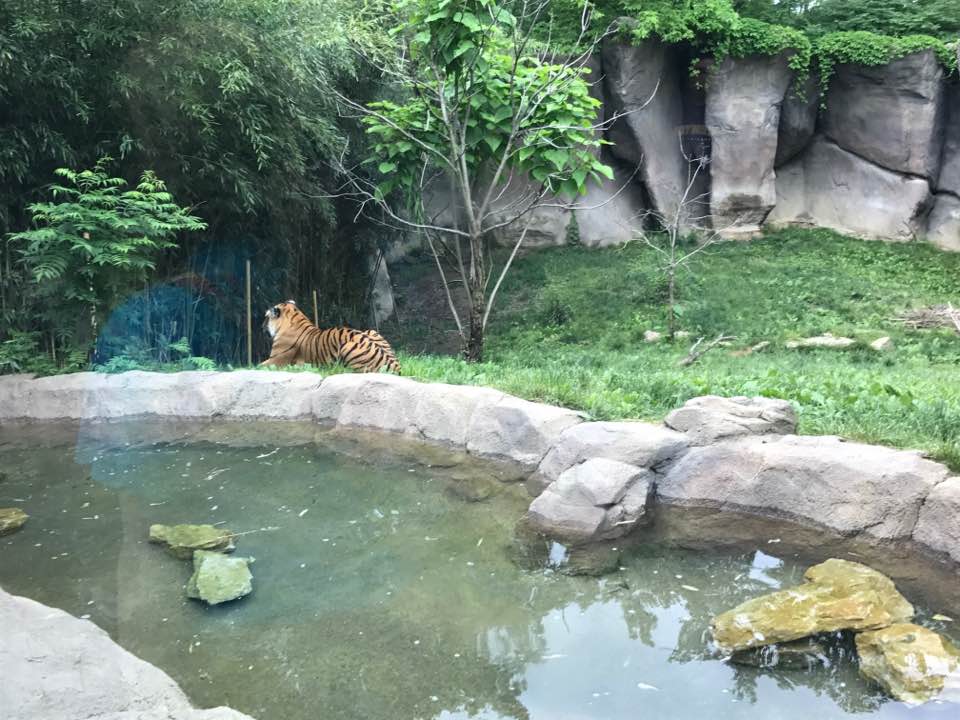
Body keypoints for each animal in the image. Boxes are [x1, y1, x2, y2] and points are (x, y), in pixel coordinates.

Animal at [261, 300, 401, 373]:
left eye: (266, 317)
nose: (261, 327)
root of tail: (395, 366)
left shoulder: (276, 360)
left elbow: (258, 365)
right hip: (371, 331)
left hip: (347, 347)